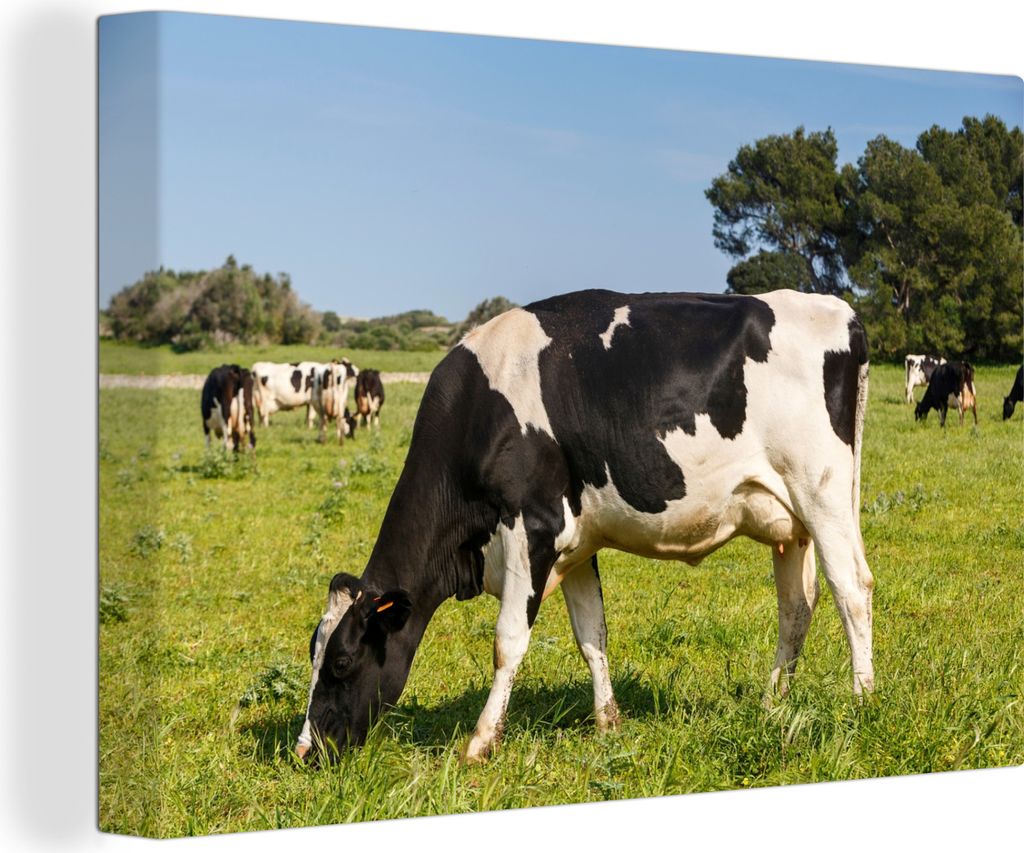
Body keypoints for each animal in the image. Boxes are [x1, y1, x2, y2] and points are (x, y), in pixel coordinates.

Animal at [296, 289, 874, 764]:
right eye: (313, 655)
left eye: (342, 662)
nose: (305, 751)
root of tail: (837, 309)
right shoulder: (576, 544)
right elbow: (591, 634)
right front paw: (608, 725)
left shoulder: (533, 527)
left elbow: (508, 640)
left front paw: (480, 744)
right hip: (788, 522)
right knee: (796, 606)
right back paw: (772, 703)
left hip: (822, 492)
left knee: (852, 588)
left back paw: (862, 702)